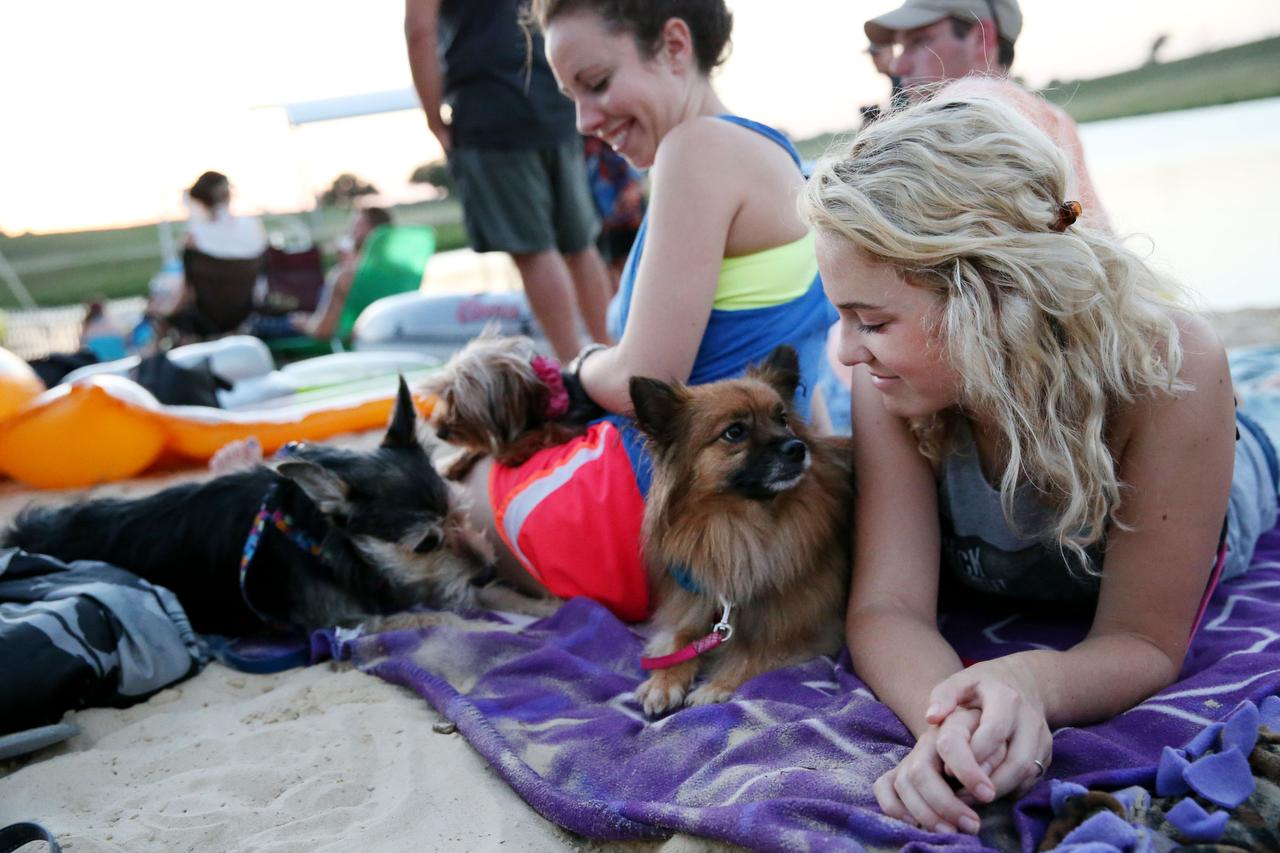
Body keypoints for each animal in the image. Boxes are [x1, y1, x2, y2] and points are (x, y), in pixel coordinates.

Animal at [627, 345, 849, 712]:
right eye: (734, 432)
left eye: (782, 419)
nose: (797, 447)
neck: (738, 526)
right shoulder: (702, 610)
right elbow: (680, 642)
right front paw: (663, 680)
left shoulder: (812, 628)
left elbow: (758, 652)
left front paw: (715, 686)